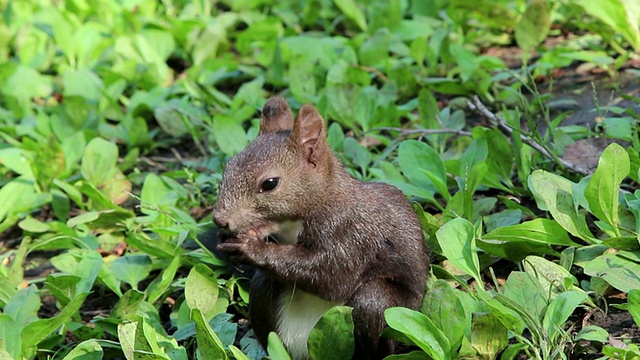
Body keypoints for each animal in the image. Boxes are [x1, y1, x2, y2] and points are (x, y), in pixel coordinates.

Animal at [215, 97, 430, 358]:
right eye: (227, 167)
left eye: (270, 183)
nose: (220, 219)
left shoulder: (351, 233)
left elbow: (333, 277)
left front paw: (251, 248)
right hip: (263, 294)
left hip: (381, 306)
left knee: (372, 303)